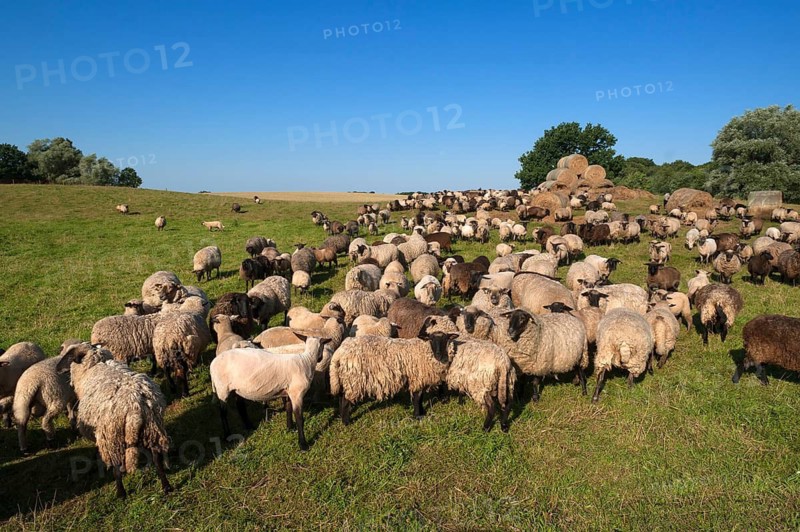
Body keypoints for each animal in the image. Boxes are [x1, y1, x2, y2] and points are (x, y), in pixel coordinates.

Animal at [56, 343, 171, 498]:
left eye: (69, 356)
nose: (58, 369)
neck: (94, 364)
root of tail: (135, 406)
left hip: (112, 436)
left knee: (116, 468)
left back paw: (121, 493)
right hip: (153, 428)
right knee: (156, 457)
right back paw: (166, 486)